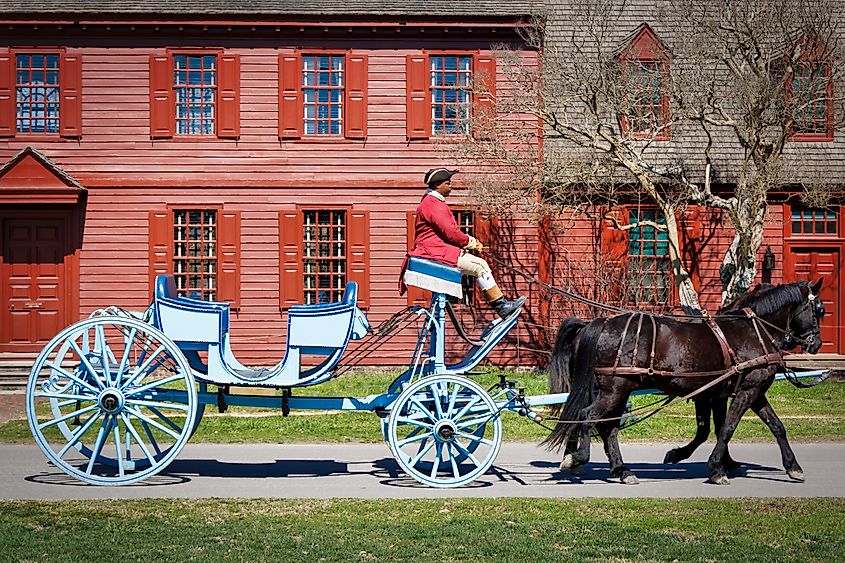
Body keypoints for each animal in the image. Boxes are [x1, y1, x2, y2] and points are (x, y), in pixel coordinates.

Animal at [540, 280, 824, 486]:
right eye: (819, 310)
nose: (817, 343)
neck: (752, 331)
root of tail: (600, 322)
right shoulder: (746, 390)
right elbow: (726, 428)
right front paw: (716, 467)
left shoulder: (733, 392)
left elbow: (774, 427)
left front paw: (792, 467)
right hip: (615, 389)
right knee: (589, 417)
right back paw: (579, 458)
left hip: (619, 389)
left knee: (607, 426)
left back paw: (621, 470)